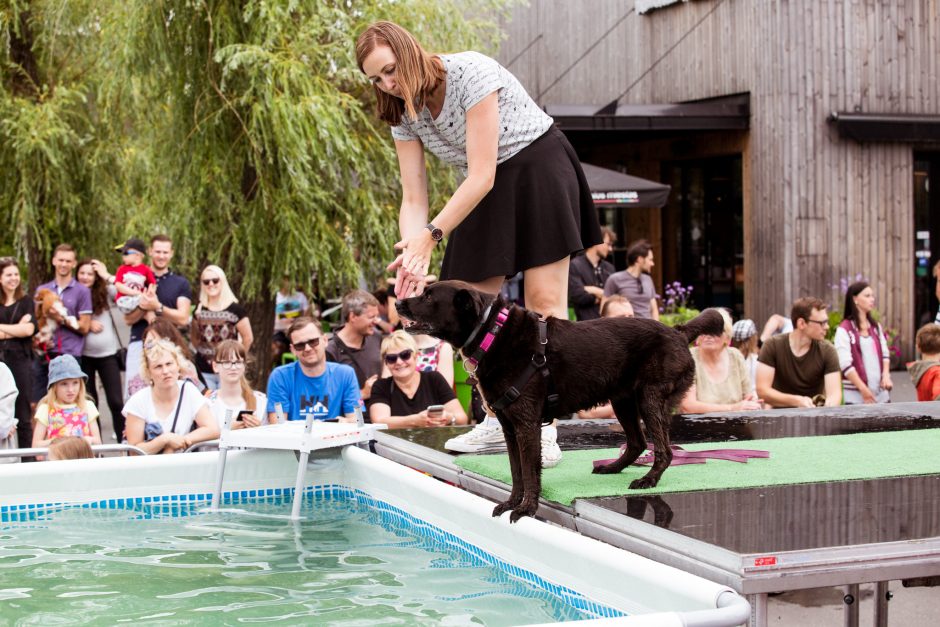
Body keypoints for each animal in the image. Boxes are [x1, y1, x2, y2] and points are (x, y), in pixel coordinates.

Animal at [392, 282, 724, 524]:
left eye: (428, 295)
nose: (397, 303)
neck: (493, 334)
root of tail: (678, 331)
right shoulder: (510, 427)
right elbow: (515, 472)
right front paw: (511, 503)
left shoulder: (527, 424)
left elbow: (529, 471)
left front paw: (526, 509)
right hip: (623, 400)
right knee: (637, 442)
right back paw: (613, 467)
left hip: (649, 398)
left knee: (664, 450)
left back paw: (648, 480)